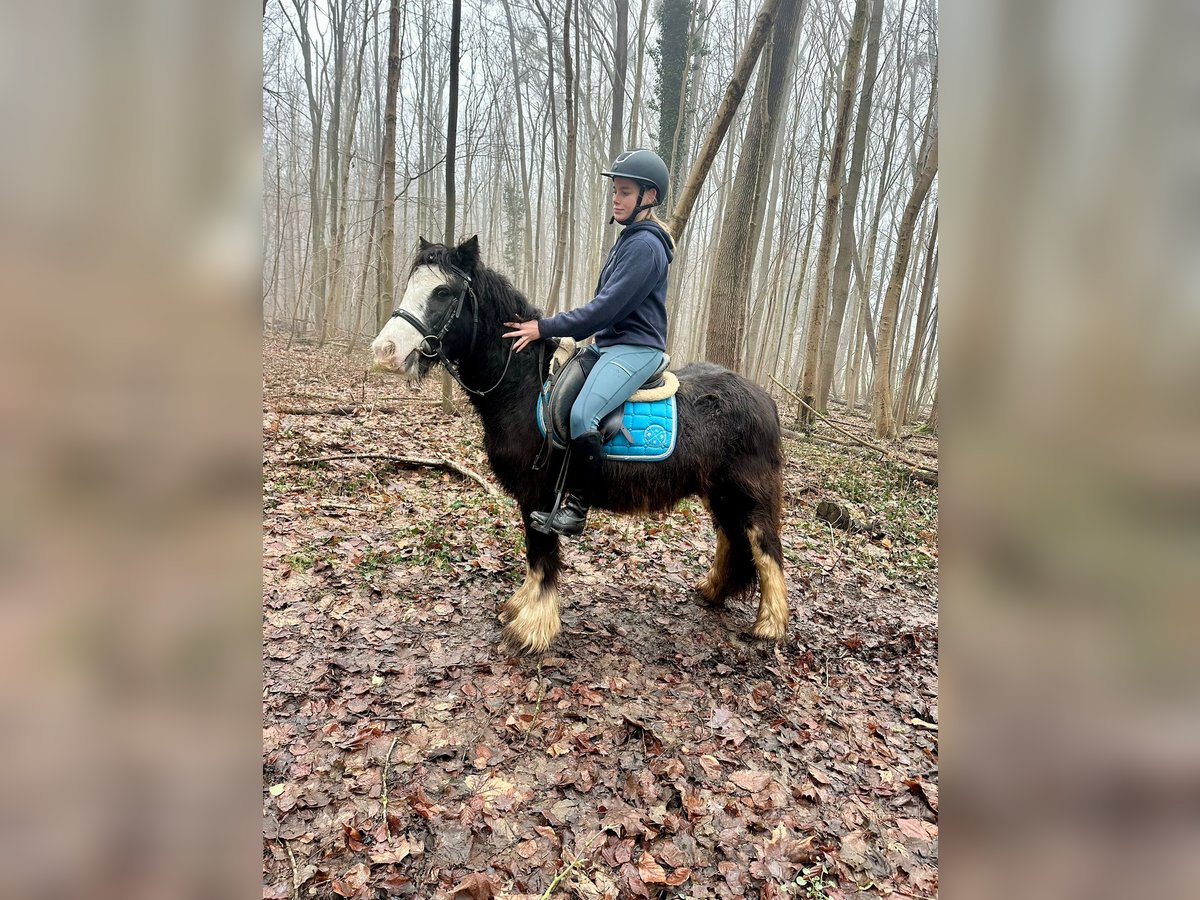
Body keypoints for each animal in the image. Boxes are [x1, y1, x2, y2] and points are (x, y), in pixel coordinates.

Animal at [369, 236, 792, 652]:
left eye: (443, 291)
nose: (385, 351)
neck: (525, 387)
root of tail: (764, 399)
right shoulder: (530, 497)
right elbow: (534, 557)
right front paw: (519, 609)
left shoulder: (539, 493)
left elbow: (542, 556)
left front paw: (532, 629)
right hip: (718, 492)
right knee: (732, 540)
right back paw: (712, 590)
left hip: (751, 493)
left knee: (765, 547)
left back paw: (769, 626)